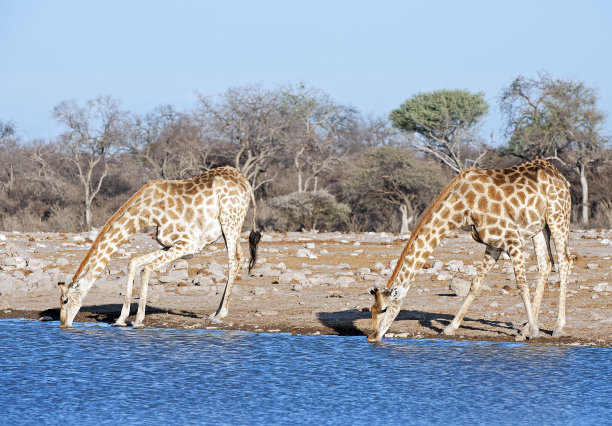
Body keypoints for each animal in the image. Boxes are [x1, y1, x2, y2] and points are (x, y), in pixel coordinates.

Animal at [58, 165, 264, 328]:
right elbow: (133, 263)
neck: (147, 213)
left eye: (65, 300)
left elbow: (146, 270)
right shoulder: (169, 244)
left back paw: (220, 315)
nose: (63, 324)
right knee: (239, 258)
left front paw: (138, 320)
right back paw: (214, 313)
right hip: (231, 225)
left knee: (234, 260)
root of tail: (245, 182)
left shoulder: (189, 244)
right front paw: (121, 319)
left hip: (230, 221)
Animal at [368, 160, 572, 342]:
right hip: (540, 227)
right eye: (371, 309)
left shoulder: (513, 238)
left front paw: (535, 332)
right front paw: (450, 327)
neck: (463, 208)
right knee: (546, 264)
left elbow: (521, 285)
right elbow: (475, 284)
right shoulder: (494, 244)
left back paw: (557, 327)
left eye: (384, 309)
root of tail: (562, 178)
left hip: (558, 217)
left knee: (564, 261)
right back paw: (525, 328)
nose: (372, 337)